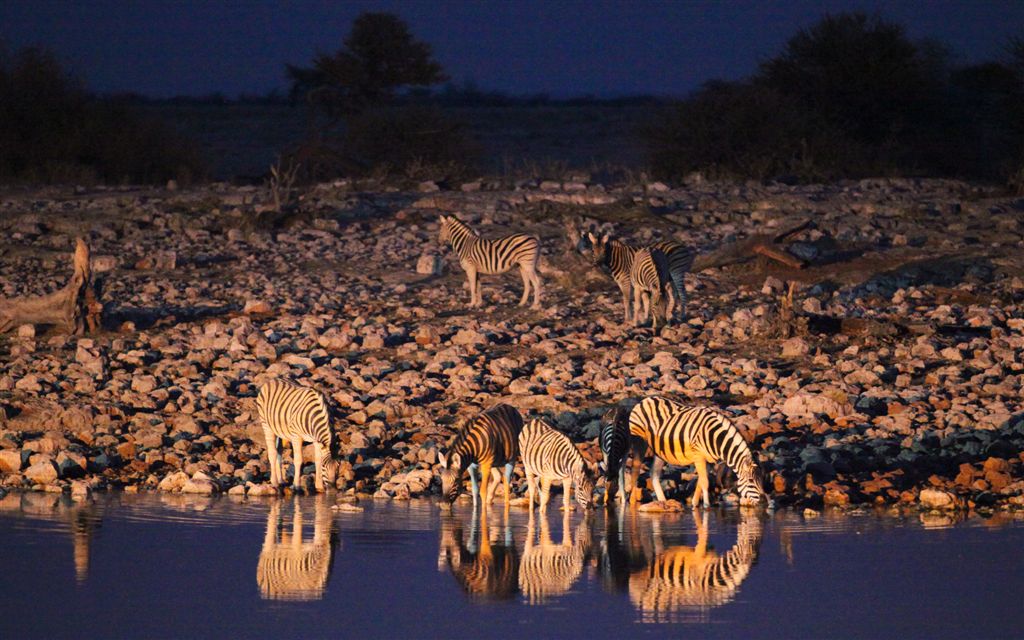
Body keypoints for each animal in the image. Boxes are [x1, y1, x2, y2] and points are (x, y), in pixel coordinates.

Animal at [622, 397, 770, 505]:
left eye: (762, 478)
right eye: (751, 480)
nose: (764, 501)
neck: (715, 438)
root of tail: (644, 400)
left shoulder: (709, 461)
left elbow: (701, 481)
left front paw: (694, 504)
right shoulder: (698, 455)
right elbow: (705, 482)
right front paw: (706, 506)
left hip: (660, 451)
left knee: (654, 474)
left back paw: (663, 501)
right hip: (640, 442)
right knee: (635, 470)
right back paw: (633, 501)